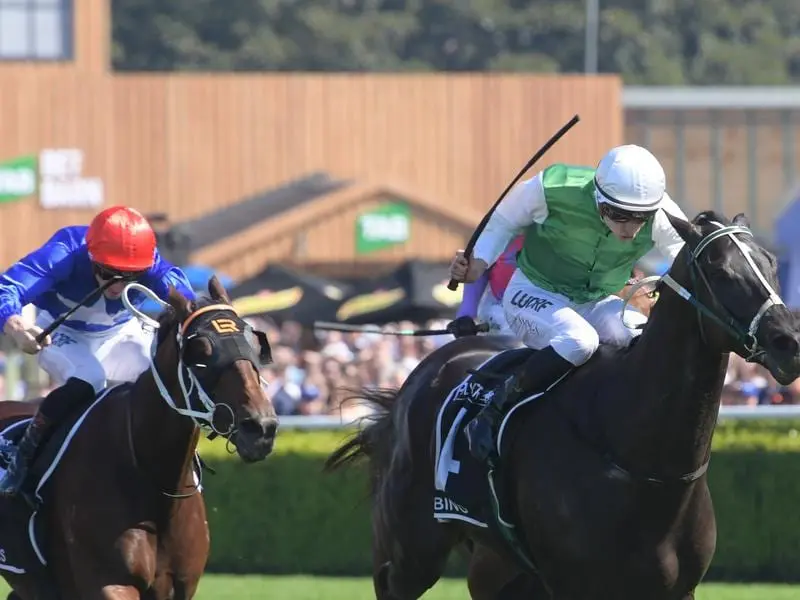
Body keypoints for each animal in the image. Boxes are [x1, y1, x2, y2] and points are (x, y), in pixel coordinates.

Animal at [324, 212, 800, 600]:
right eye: (719, 269)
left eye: (770, 263)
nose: (788, 342)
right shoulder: (575, 585)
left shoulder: (675, 589)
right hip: (410, 551)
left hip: (502, 566)